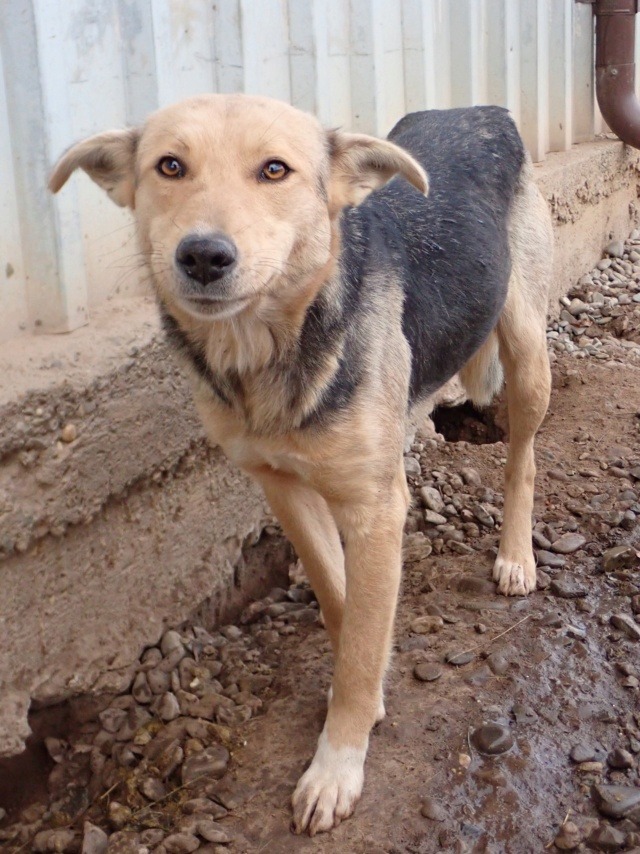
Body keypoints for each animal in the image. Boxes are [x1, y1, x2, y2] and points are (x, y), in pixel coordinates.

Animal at [50, 94, 552, 836]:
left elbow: (363, 637)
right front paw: (366, 684)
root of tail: (477, 107)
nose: (202, 255)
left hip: (525, 347)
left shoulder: (374, 508)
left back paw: (516, 554)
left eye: (274, 170)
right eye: (169, 166)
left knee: (522, 457)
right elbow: (343, 603)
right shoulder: (284, 488)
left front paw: (337, 764)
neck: (264, 350)